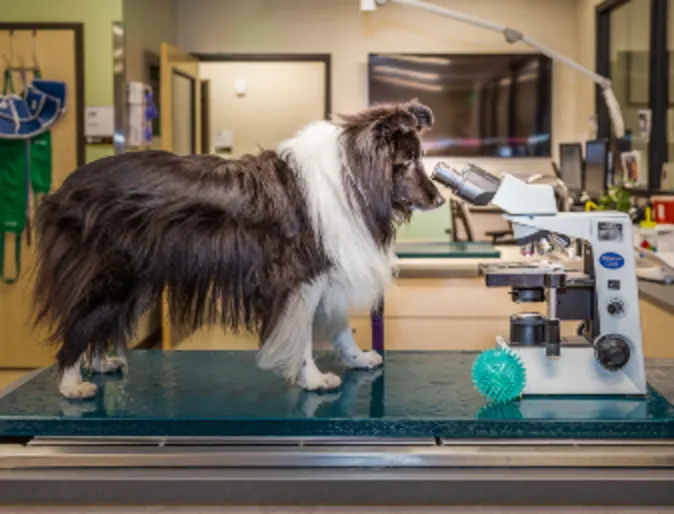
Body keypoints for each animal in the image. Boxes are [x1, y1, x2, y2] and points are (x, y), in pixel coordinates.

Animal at [31, 99, 444, 396]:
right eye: (407, 161)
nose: (440, 199)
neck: (351, 177)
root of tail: (63, 190)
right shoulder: (299, 278)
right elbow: (301, 335)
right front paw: (312, 379)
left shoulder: (327, 274)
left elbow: (341, 327)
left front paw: (357, 359)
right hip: (113, 275)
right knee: (79, 321)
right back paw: (71, 384)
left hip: (135, 279)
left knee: (98, 321)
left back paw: (100, 363)